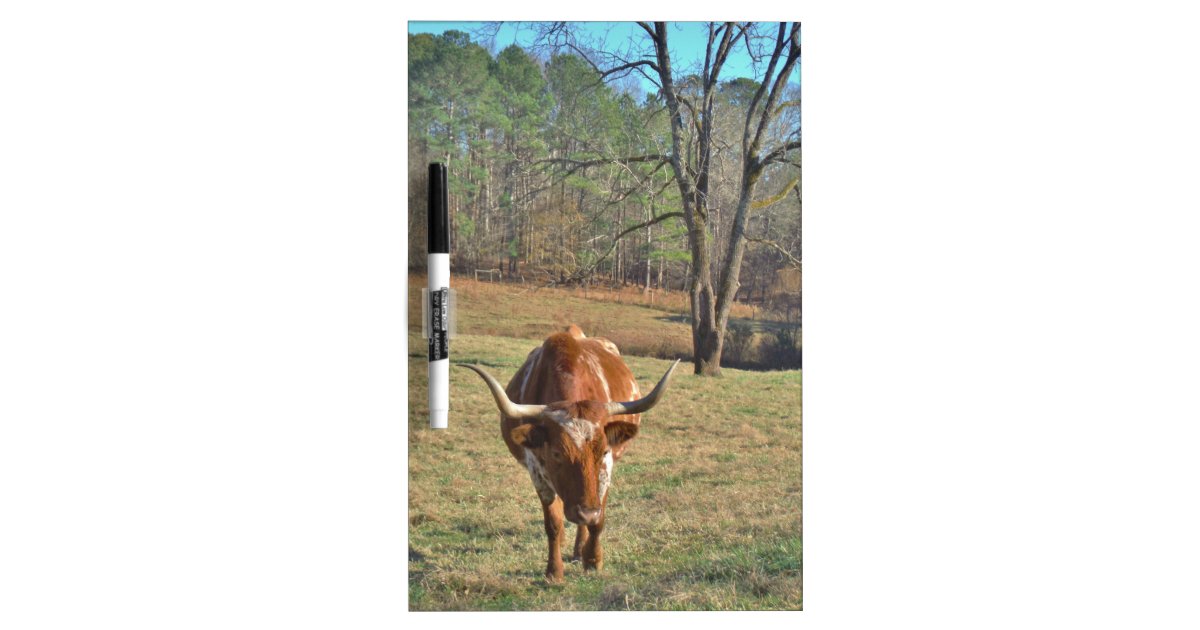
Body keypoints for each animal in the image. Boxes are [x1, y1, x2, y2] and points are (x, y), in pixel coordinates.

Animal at [459, 324, 679, 582]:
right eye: (556, 454)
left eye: (604, 451)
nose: (586, 512)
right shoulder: (537, 474)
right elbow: (553, 523)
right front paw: (554, 571)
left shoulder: (606, 471)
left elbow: (598, 521)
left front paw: (592, 559)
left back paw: (579, 548)